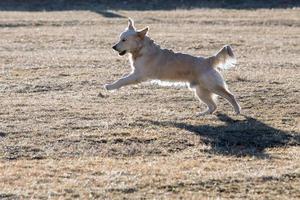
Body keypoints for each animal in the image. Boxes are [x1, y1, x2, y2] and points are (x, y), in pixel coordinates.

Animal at [104, 19, 240, 115]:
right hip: (201, 91)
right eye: (120, 39)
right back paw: (201, 114)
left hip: (212, 86)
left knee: (230, 96)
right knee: (213, 106)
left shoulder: (138, 75)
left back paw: (237, 111)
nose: (113, 47)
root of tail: (208, 60)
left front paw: (110, 86)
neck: (141, 49)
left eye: (124, 40)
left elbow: (122, 80)